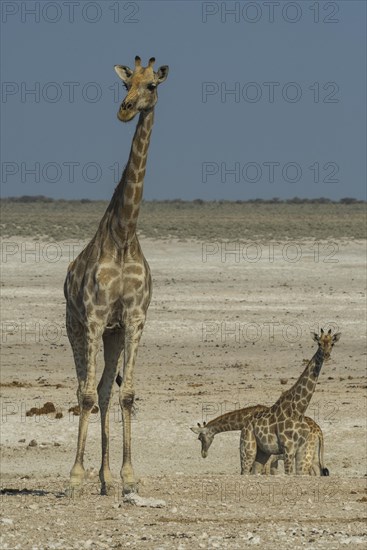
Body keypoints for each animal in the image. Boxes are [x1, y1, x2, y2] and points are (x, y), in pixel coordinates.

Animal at [191, 406, 330, 478]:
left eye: (200, 438)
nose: (203, 454)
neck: (244, 419)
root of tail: (319, 431)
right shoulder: (273, 460)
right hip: (313, 455)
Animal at [240, 330, 340, 476]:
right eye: (319, 343)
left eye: (332, 343)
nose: (326, 355)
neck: (299, 410)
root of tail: (245, 426)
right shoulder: (288, 449)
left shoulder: (301, 450)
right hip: (248, 448)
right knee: (244, 471)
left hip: (263, 452)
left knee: (256, 470)